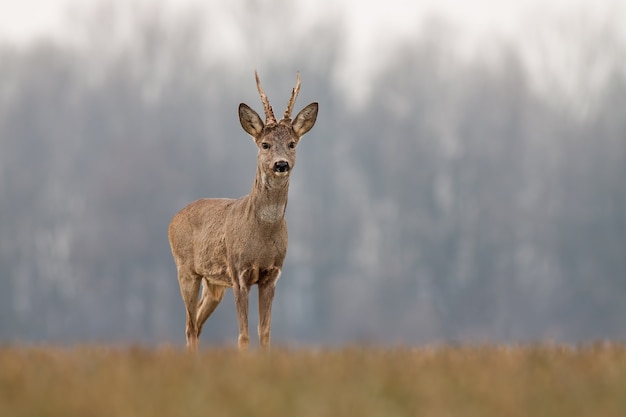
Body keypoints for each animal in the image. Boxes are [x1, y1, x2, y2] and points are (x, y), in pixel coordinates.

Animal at [167, 71, 316, 352]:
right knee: (190, 325)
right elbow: (243, 335)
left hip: (213, 283)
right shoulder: (239, 272)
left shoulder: (272, 275)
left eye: (292, 143)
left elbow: (265, 332)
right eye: (265, 144)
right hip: (187, 271)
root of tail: (172, 220)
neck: (262, 235)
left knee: (197, 322)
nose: (281, 164)